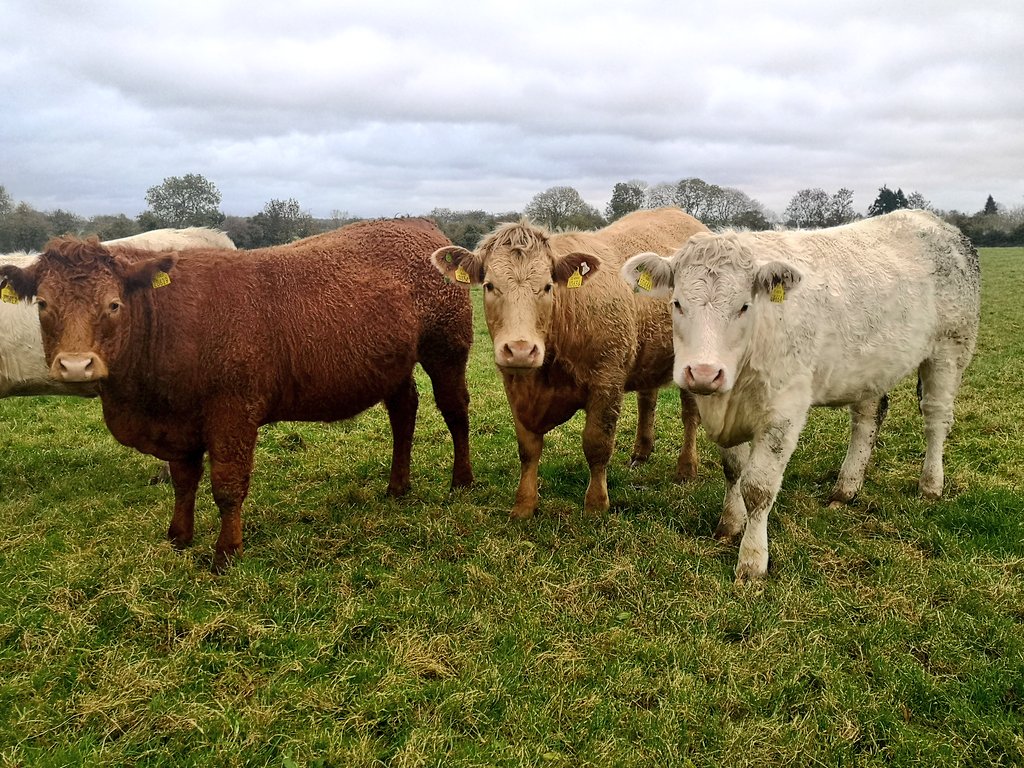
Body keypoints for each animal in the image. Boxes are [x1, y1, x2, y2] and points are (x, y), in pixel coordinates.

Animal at [0, 218, 473, 572]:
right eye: (42, 304)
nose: (76, 365)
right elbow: (184, 481)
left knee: (455, 411)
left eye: (113, 304)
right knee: (403, 411)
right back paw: (397, 486)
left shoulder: (233, 413)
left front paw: (226, 553)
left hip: (447, 349)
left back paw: (461, 482)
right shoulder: (179, 422)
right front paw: (179, 537)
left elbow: (227, 486)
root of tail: (418, 224)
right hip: (395, 365)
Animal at [431, 207, 708, 519]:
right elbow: (528, 448)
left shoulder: (606, 383)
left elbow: (597, 444)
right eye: (490, 286)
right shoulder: (515, 387)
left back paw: (686, 468)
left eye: (547, 287)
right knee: (647, 398)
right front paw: (524, 505)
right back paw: (641, 452)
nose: (520, 350)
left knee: (690, 415)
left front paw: (596, 505)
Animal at [621, 209, 980, 582]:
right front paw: (729, 525)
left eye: (744, 306)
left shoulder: (784, 412)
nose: (704, 372)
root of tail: (934, 222)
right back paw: (846, 489)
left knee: (935, 418)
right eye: (677, 303)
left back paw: (930, 485)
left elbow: (758, 487)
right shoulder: (723, 406)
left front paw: (752, 562)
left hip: (950, 349)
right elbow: (734, 471)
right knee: (868, 417)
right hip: (872, 367)